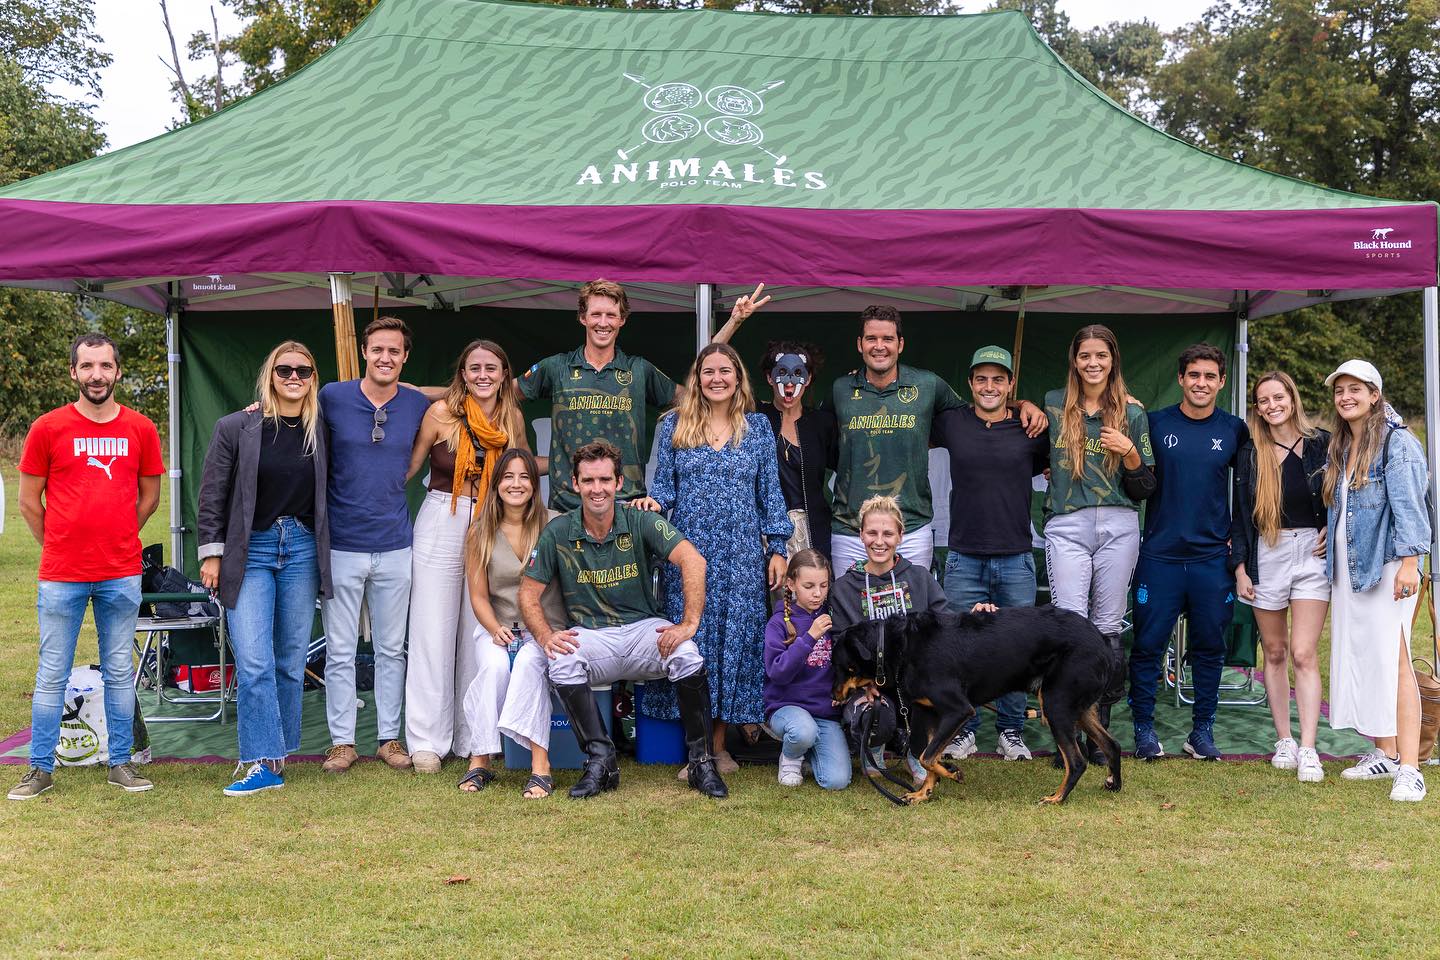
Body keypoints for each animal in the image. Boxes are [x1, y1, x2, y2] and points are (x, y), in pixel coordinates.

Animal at [835, 607, 1123, 805]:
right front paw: (924, 792)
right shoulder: (929, 712)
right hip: (1078, 707)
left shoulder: (958, 709)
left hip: (1056, 705)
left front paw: (953, 773)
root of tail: (1103, 640)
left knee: (1076, 761)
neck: (899, 646)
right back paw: (1113, 783)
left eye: (839, 666)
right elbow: (925, 755)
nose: (833, 696)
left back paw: (1057, 798)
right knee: (1112, 745)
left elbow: (927, 755)